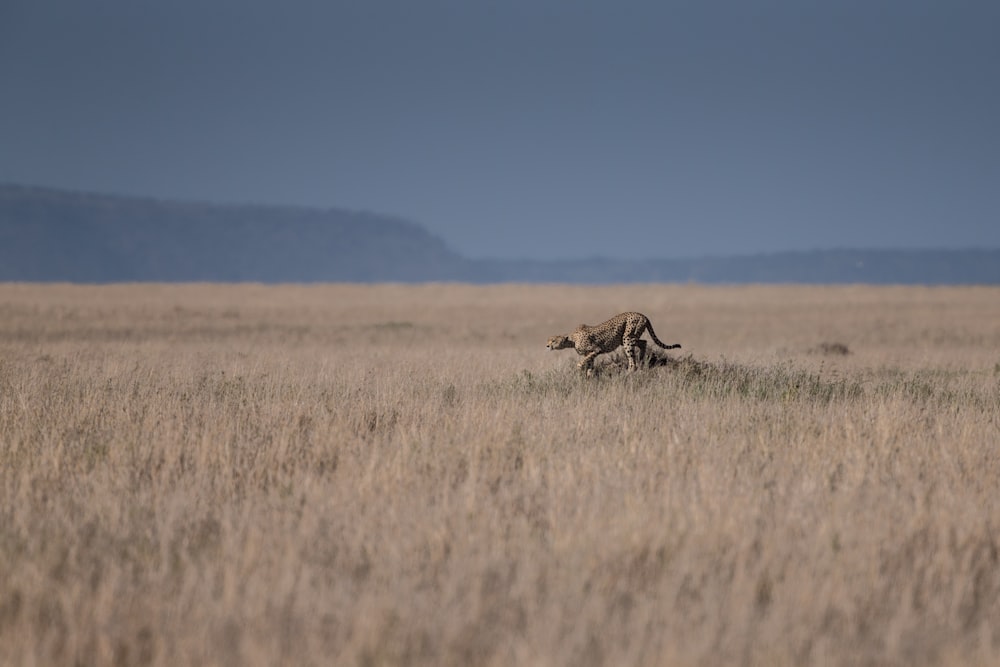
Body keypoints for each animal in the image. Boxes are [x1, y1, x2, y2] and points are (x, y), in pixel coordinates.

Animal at [548, 314, 680, 376]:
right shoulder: (591, 353)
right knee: (643, 342)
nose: (547, 346)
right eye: (548, 340)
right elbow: (590, 364)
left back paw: (630, 370)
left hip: (627, 338)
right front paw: (589, 376)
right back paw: (642, 359)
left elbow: (584, 362)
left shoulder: (596, 349)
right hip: (628, 338)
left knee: (632, 358)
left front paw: (580, 367)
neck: (572, 339)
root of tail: (642, 315)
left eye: (553, 340)